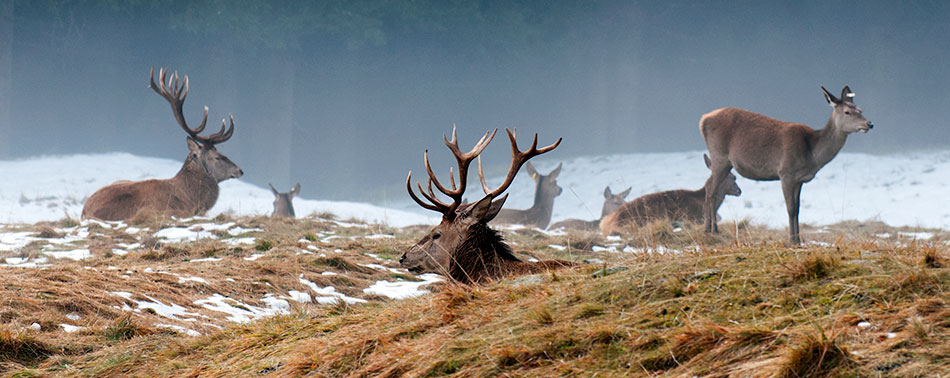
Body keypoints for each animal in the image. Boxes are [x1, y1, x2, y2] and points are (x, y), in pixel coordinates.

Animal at [704, 85, 872, 245]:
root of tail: (703, 119)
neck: (811, 154)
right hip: (720, 157)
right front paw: (792, 240)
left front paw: (798, 240)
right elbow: (790, 208)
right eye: (847, 112)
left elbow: (797, 209)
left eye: (860, 110)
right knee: (711, 192)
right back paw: (712, 230)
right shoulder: (786, 173)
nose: (869, 124)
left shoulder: (799, 179)